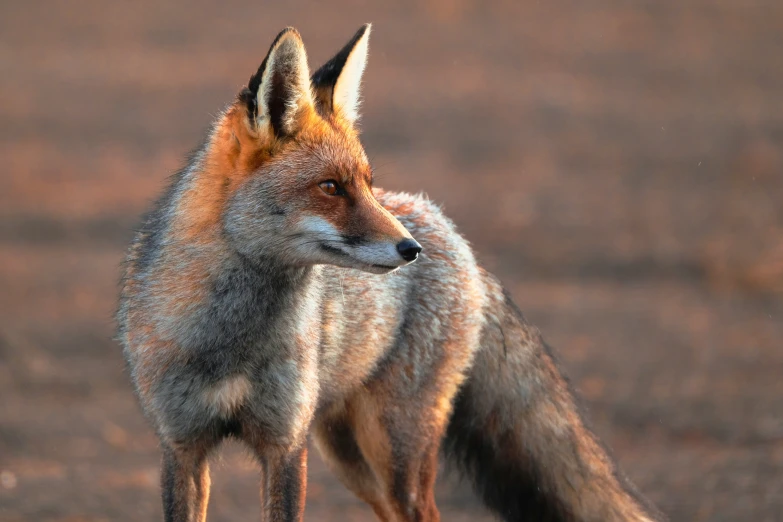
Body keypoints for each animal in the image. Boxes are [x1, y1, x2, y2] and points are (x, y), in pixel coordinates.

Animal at [116, 24, 664, 520]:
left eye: (366, 183)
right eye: (331, 187)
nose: (410, 249)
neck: (231, 341)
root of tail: (450, 231)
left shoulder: (286, 445)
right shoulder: (182, 446)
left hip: (392, 451)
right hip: (350, 458)